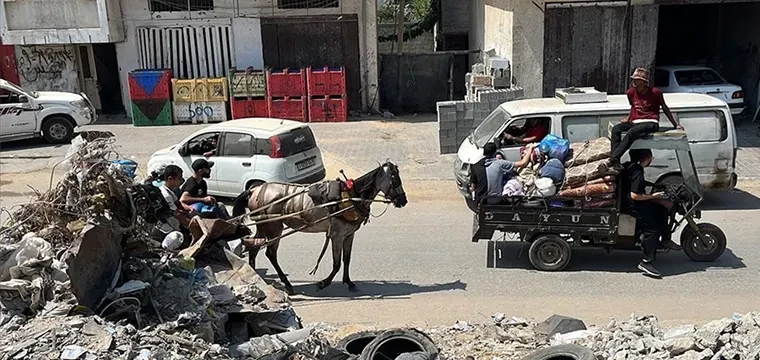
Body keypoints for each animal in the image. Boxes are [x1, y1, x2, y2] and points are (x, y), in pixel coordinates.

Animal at [232, 162, 410, 294]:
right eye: (395, 179)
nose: (403, 200)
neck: (352, 197)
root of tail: (255, 189)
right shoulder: (337, 235)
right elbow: (336, 264)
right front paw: (323, 283)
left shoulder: (349, 235)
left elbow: (346, 260)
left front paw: (349, 282)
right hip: (274, 227)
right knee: (269, 253)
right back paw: (287, 284)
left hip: (263, 226)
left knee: (254, 247)